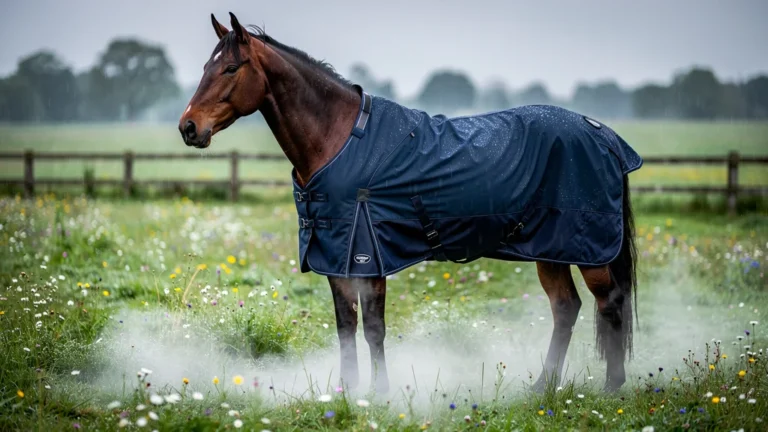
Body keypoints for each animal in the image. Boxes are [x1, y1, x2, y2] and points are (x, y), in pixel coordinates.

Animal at [179, 13, 642, 394]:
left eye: (231, 67)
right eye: (205, 67)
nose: (189, 127)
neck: (338, 139)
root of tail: (603, 136)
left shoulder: (369, 255)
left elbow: (374, 329)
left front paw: (381, 395)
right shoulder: (335, 257)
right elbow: (345, 326)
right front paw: (348, 393)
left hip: (588, 250)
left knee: (610, 303)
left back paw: (610, 389)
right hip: (550, 249)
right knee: (566, 308)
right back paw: (542, 387)